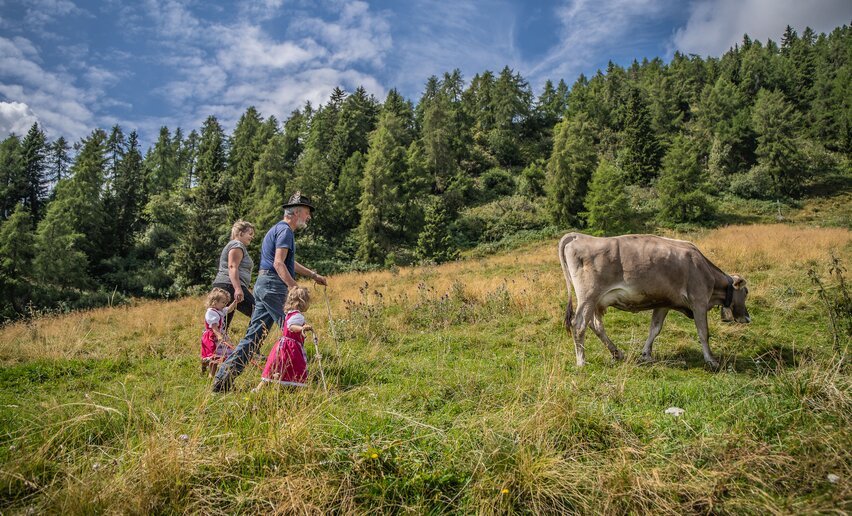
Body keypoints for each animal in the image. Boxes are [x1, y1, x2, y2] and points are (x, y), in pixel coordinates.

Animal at [560, 232, 752, 368]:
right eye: (746, 291)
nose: (748, 318)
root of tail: (578, 236)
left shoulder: (664, 303)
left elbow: (655, 329)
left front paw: (646, 354)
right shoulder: (699, 301)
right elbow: (703, 332)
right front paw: (711, 360)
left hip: (597, 302)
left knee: (595, 325)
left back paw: (617, 353)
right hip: (588, 296)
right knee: (579, 325)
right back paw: (581, 361)